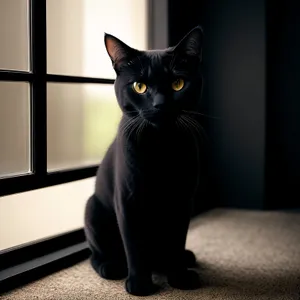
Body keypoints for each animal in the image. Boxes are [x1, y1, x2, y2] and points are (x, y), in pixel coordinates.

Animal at [84, 25, 206, 296]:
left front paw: (179, 278)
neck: (159, 147)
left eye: (178, 83)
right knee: (95, 255)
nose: (160, 104)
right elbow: (135, 246)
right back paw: (111, 266)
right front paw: (140, 285)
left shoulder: (182, 200)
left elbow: (176, 241)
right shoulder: (128, 201)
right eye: (139, 86)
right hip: (92, 208)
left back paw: (185, 258)